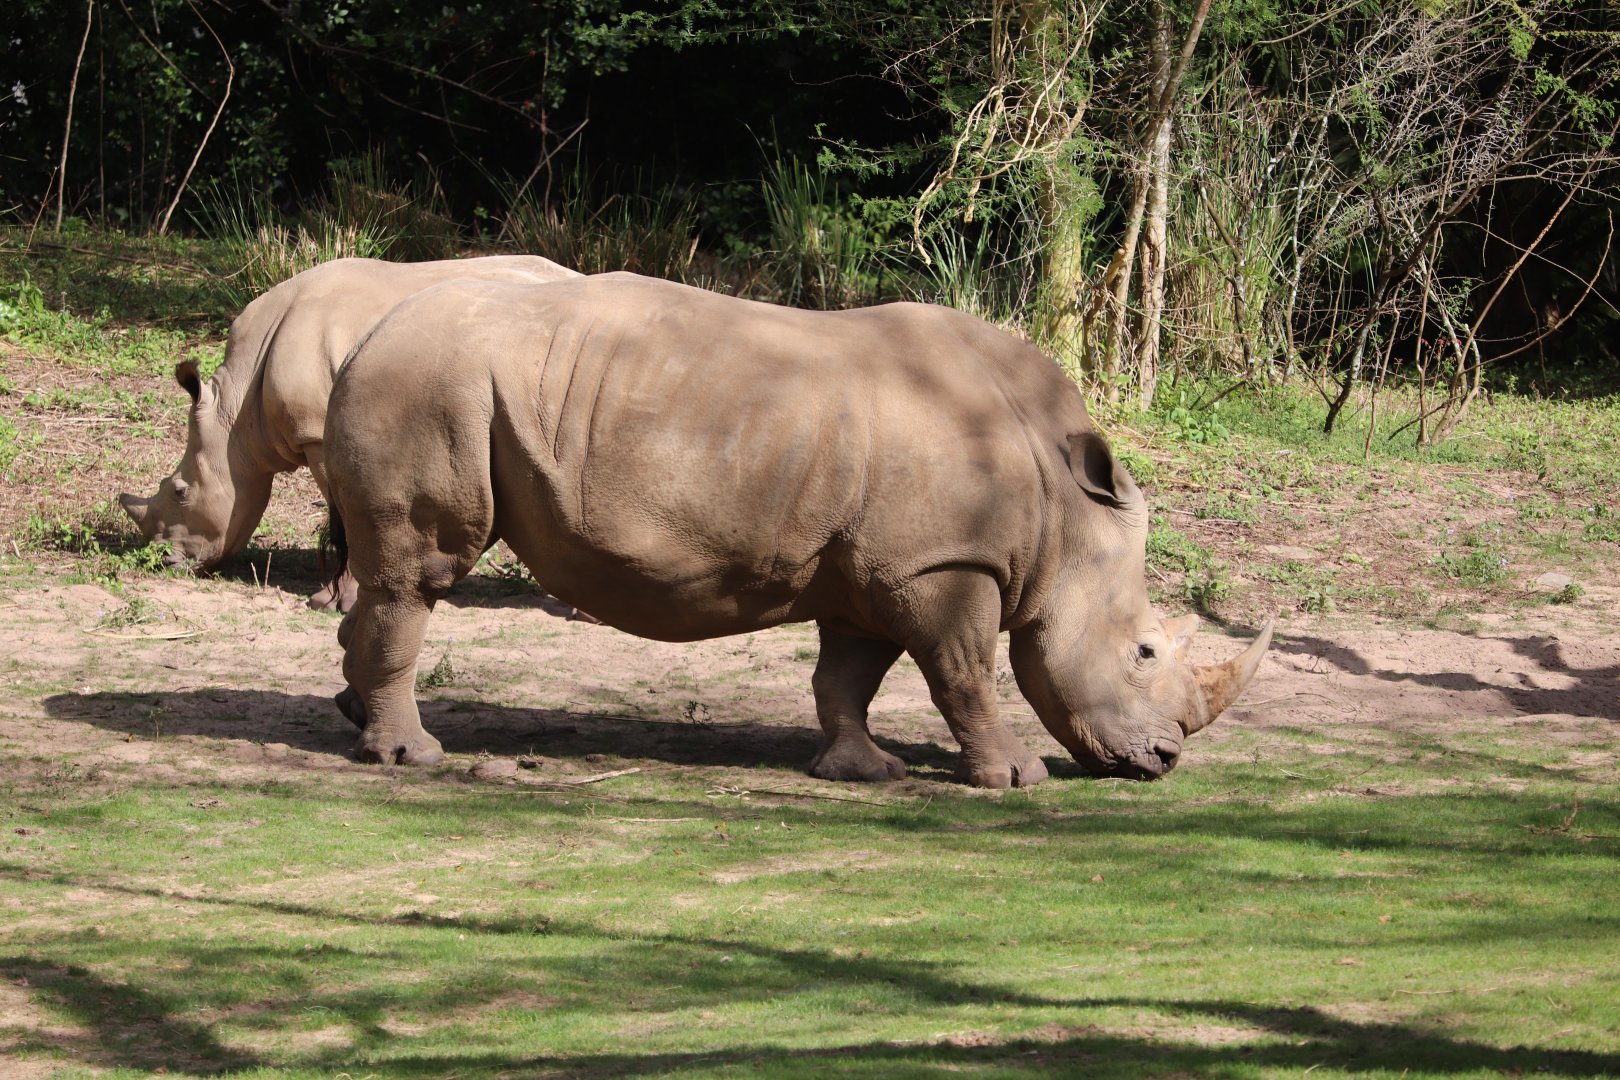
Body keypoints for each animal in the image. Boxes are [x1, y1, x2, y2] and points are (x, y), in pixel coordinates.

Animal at [118, 254, 581, 610]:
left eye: (180, 491)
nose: (165, 563)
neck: (237, 415)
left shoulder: (318, 435)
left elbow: (345, 515)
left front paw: (332, 602)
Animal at [323, 273, 1272, 787]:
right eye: (1144, 651)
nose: (1163, 760)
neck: (1067, 518)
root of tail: (363, 339)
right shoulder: (941, 565)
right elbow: (964, 672)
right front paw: (1014, 777)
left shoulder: (878, 571)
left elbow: (847, 678)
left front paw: (864, 771)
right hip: (429, 386)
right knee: (420, 574)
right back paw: (413, 756)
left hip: (432, 382)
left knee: (390, 577)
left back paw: (355, 718)